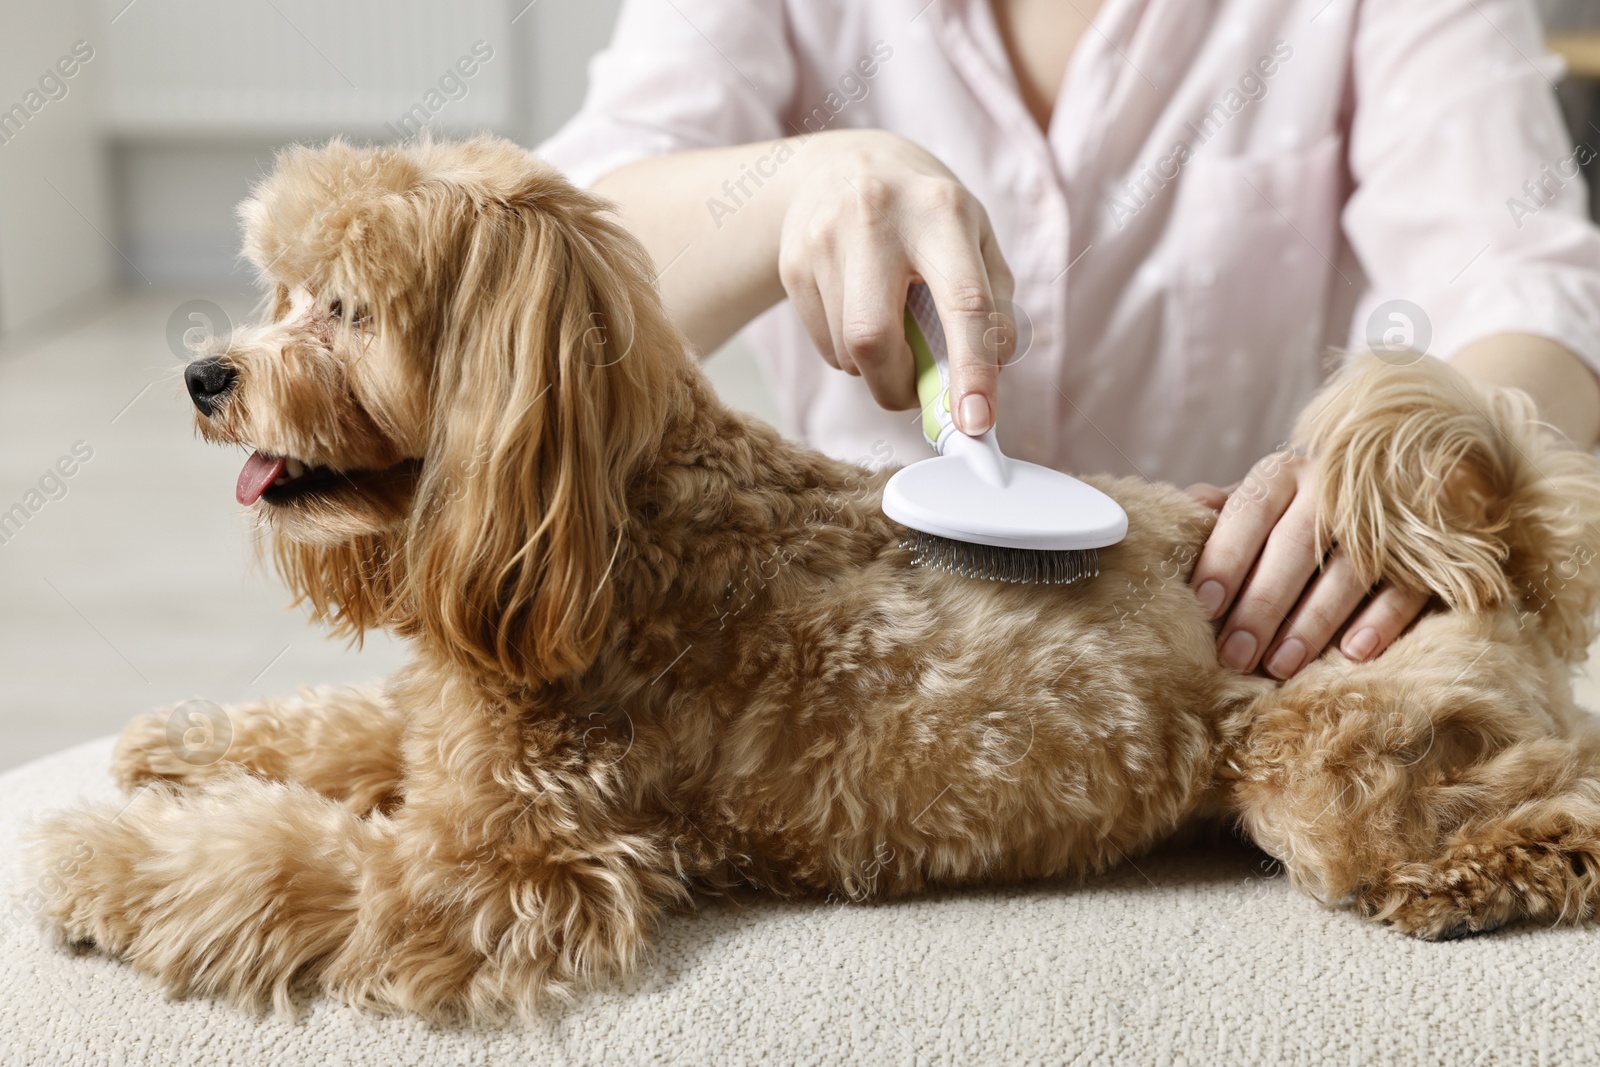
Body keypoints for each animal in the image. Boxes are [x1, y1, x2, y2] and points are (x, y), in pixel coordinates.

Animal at [28, 137, 1600, 1023]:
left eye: (346, 310)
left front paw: (99, 858)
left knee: (1550, 800)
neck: (624, 522)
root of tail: (1503, 556)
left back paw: (1483, 878)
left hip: (1322, 768)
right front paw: (178, 746)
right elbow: (331, 733)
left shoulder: (500, 867)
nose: (206, 373)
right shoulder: (451, 730)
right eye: (279, 289)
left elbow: (282, 859)